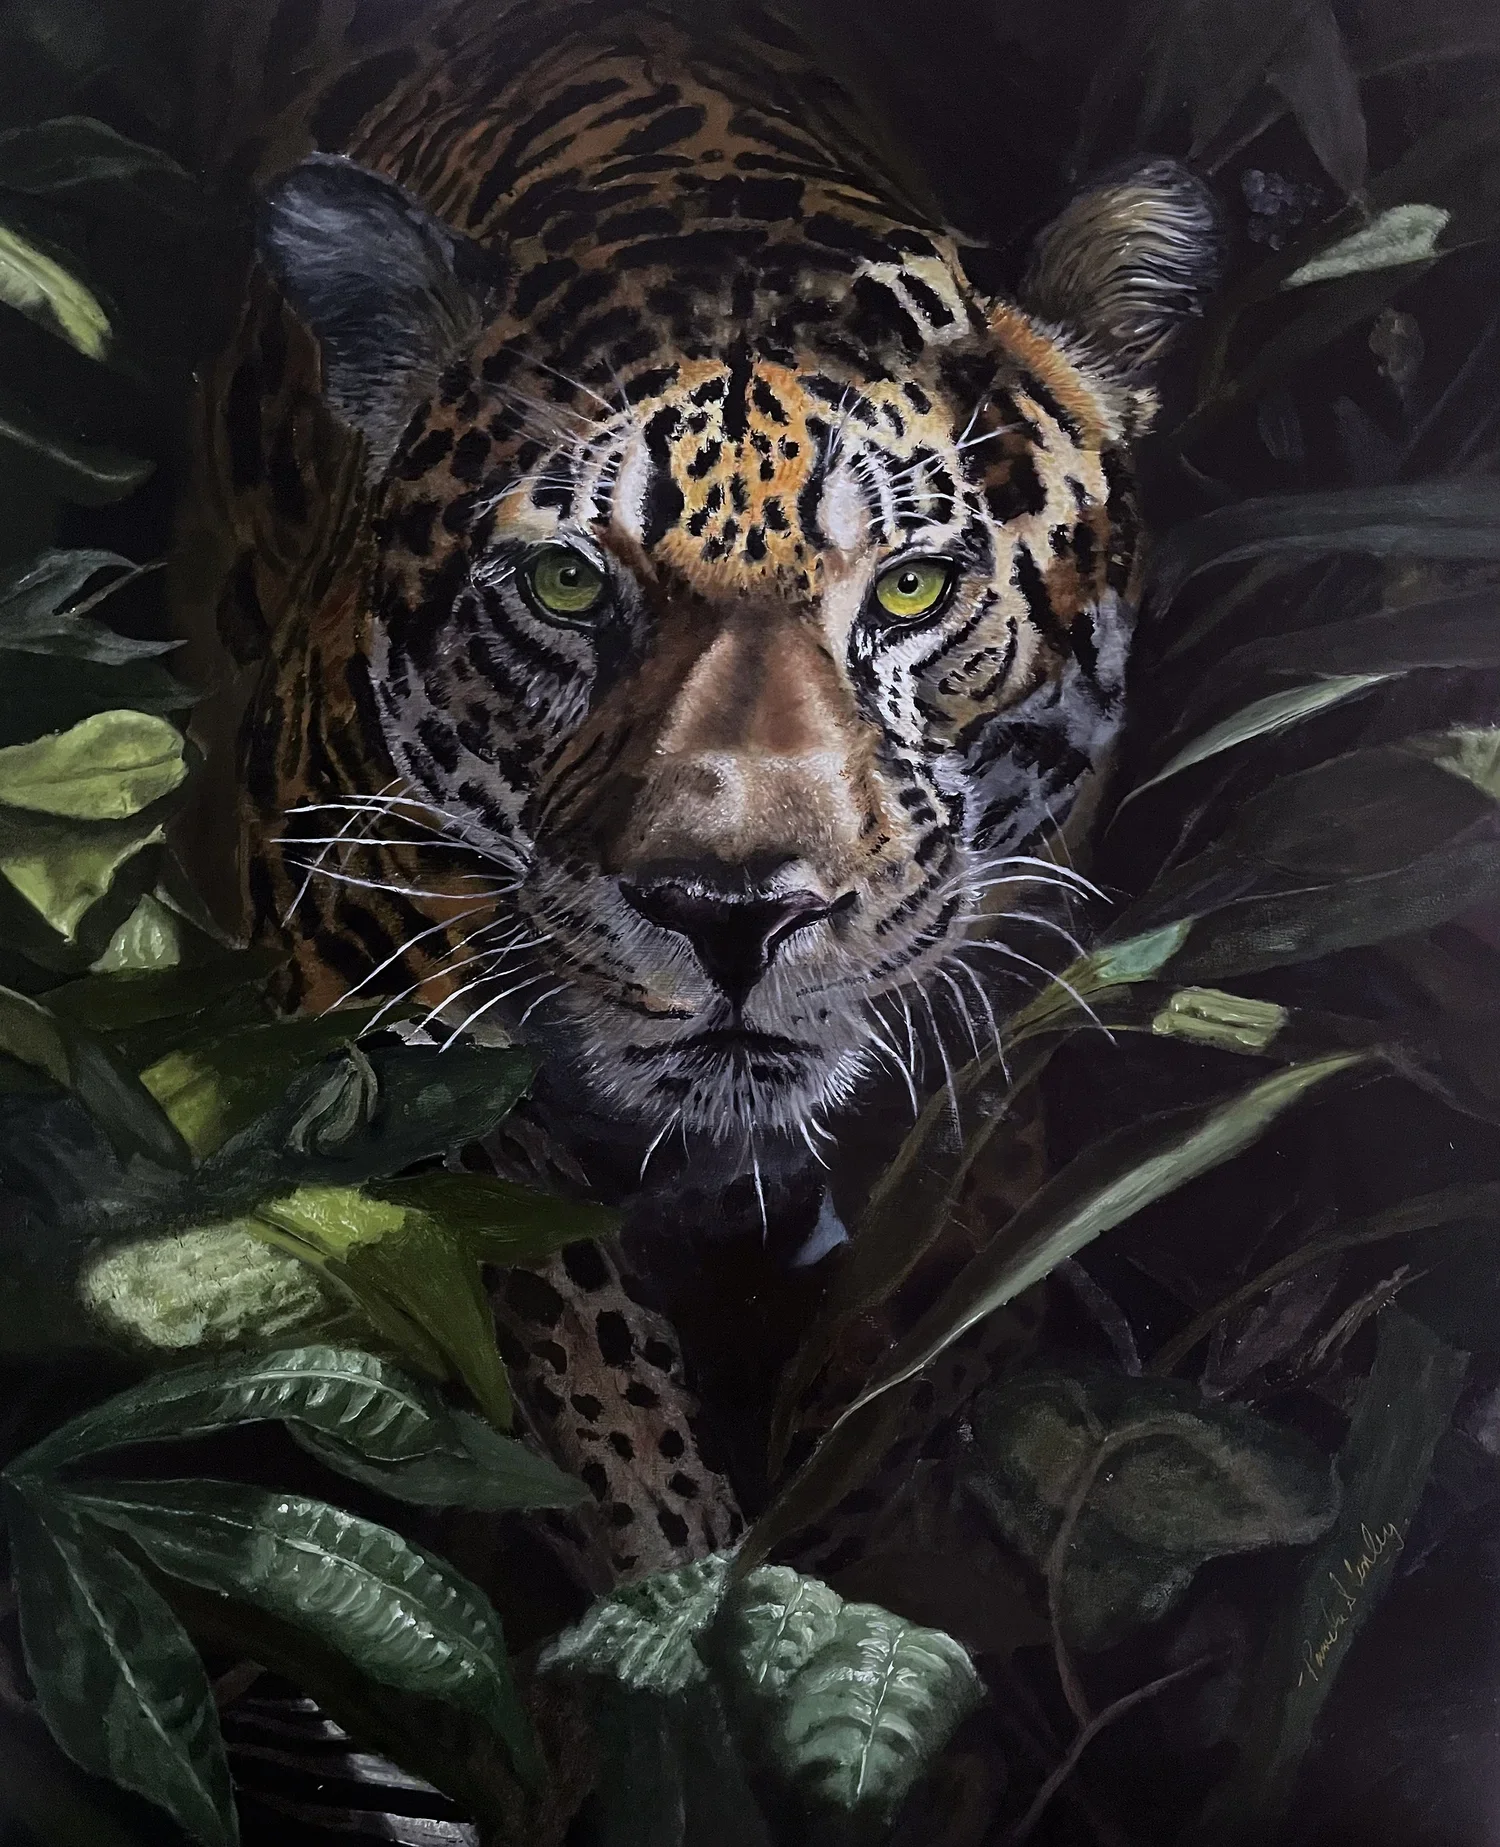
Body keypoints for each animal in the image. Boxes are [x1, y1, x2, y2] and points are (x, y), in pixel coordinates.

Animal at [179, 0, 1220, 1596]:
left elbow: (921, 1336)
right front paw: (679, 1603)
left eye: (911, 589)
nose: (733, 913)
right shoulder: (361, 990)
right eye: (565, 583)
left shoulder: (1006, 1008)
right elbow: (564, 1354)